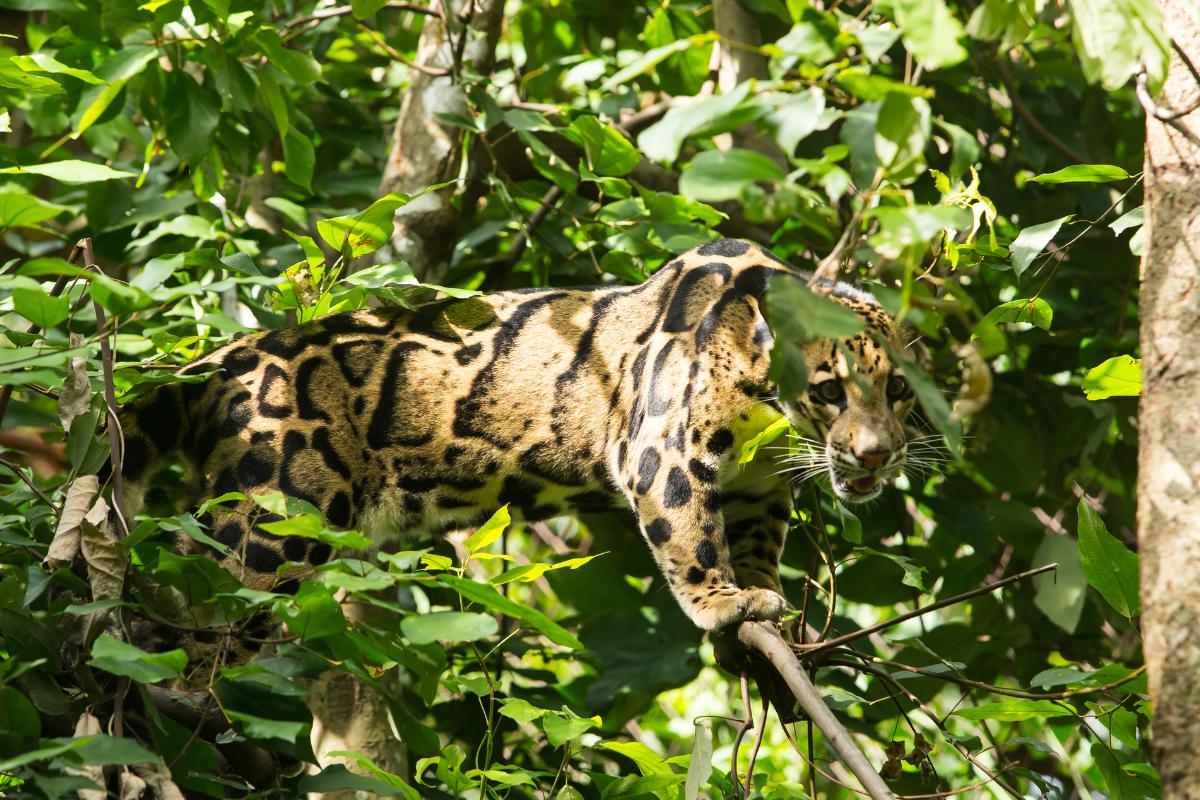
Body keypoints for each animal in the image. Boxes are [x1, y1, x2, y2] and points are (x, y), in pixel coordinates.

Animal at [117, 237, 927, 661]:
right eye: (830, 390)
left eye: (901, 392)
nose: (876, 455)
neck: (769, 418)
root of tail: (220, 360)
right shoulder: (662, 447)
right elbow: (690, 533)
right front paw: (721, 600)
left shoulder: (760, 488)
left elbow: (758, 540)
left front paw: (766, 611)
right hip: (275, 517)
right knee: (200, 604)